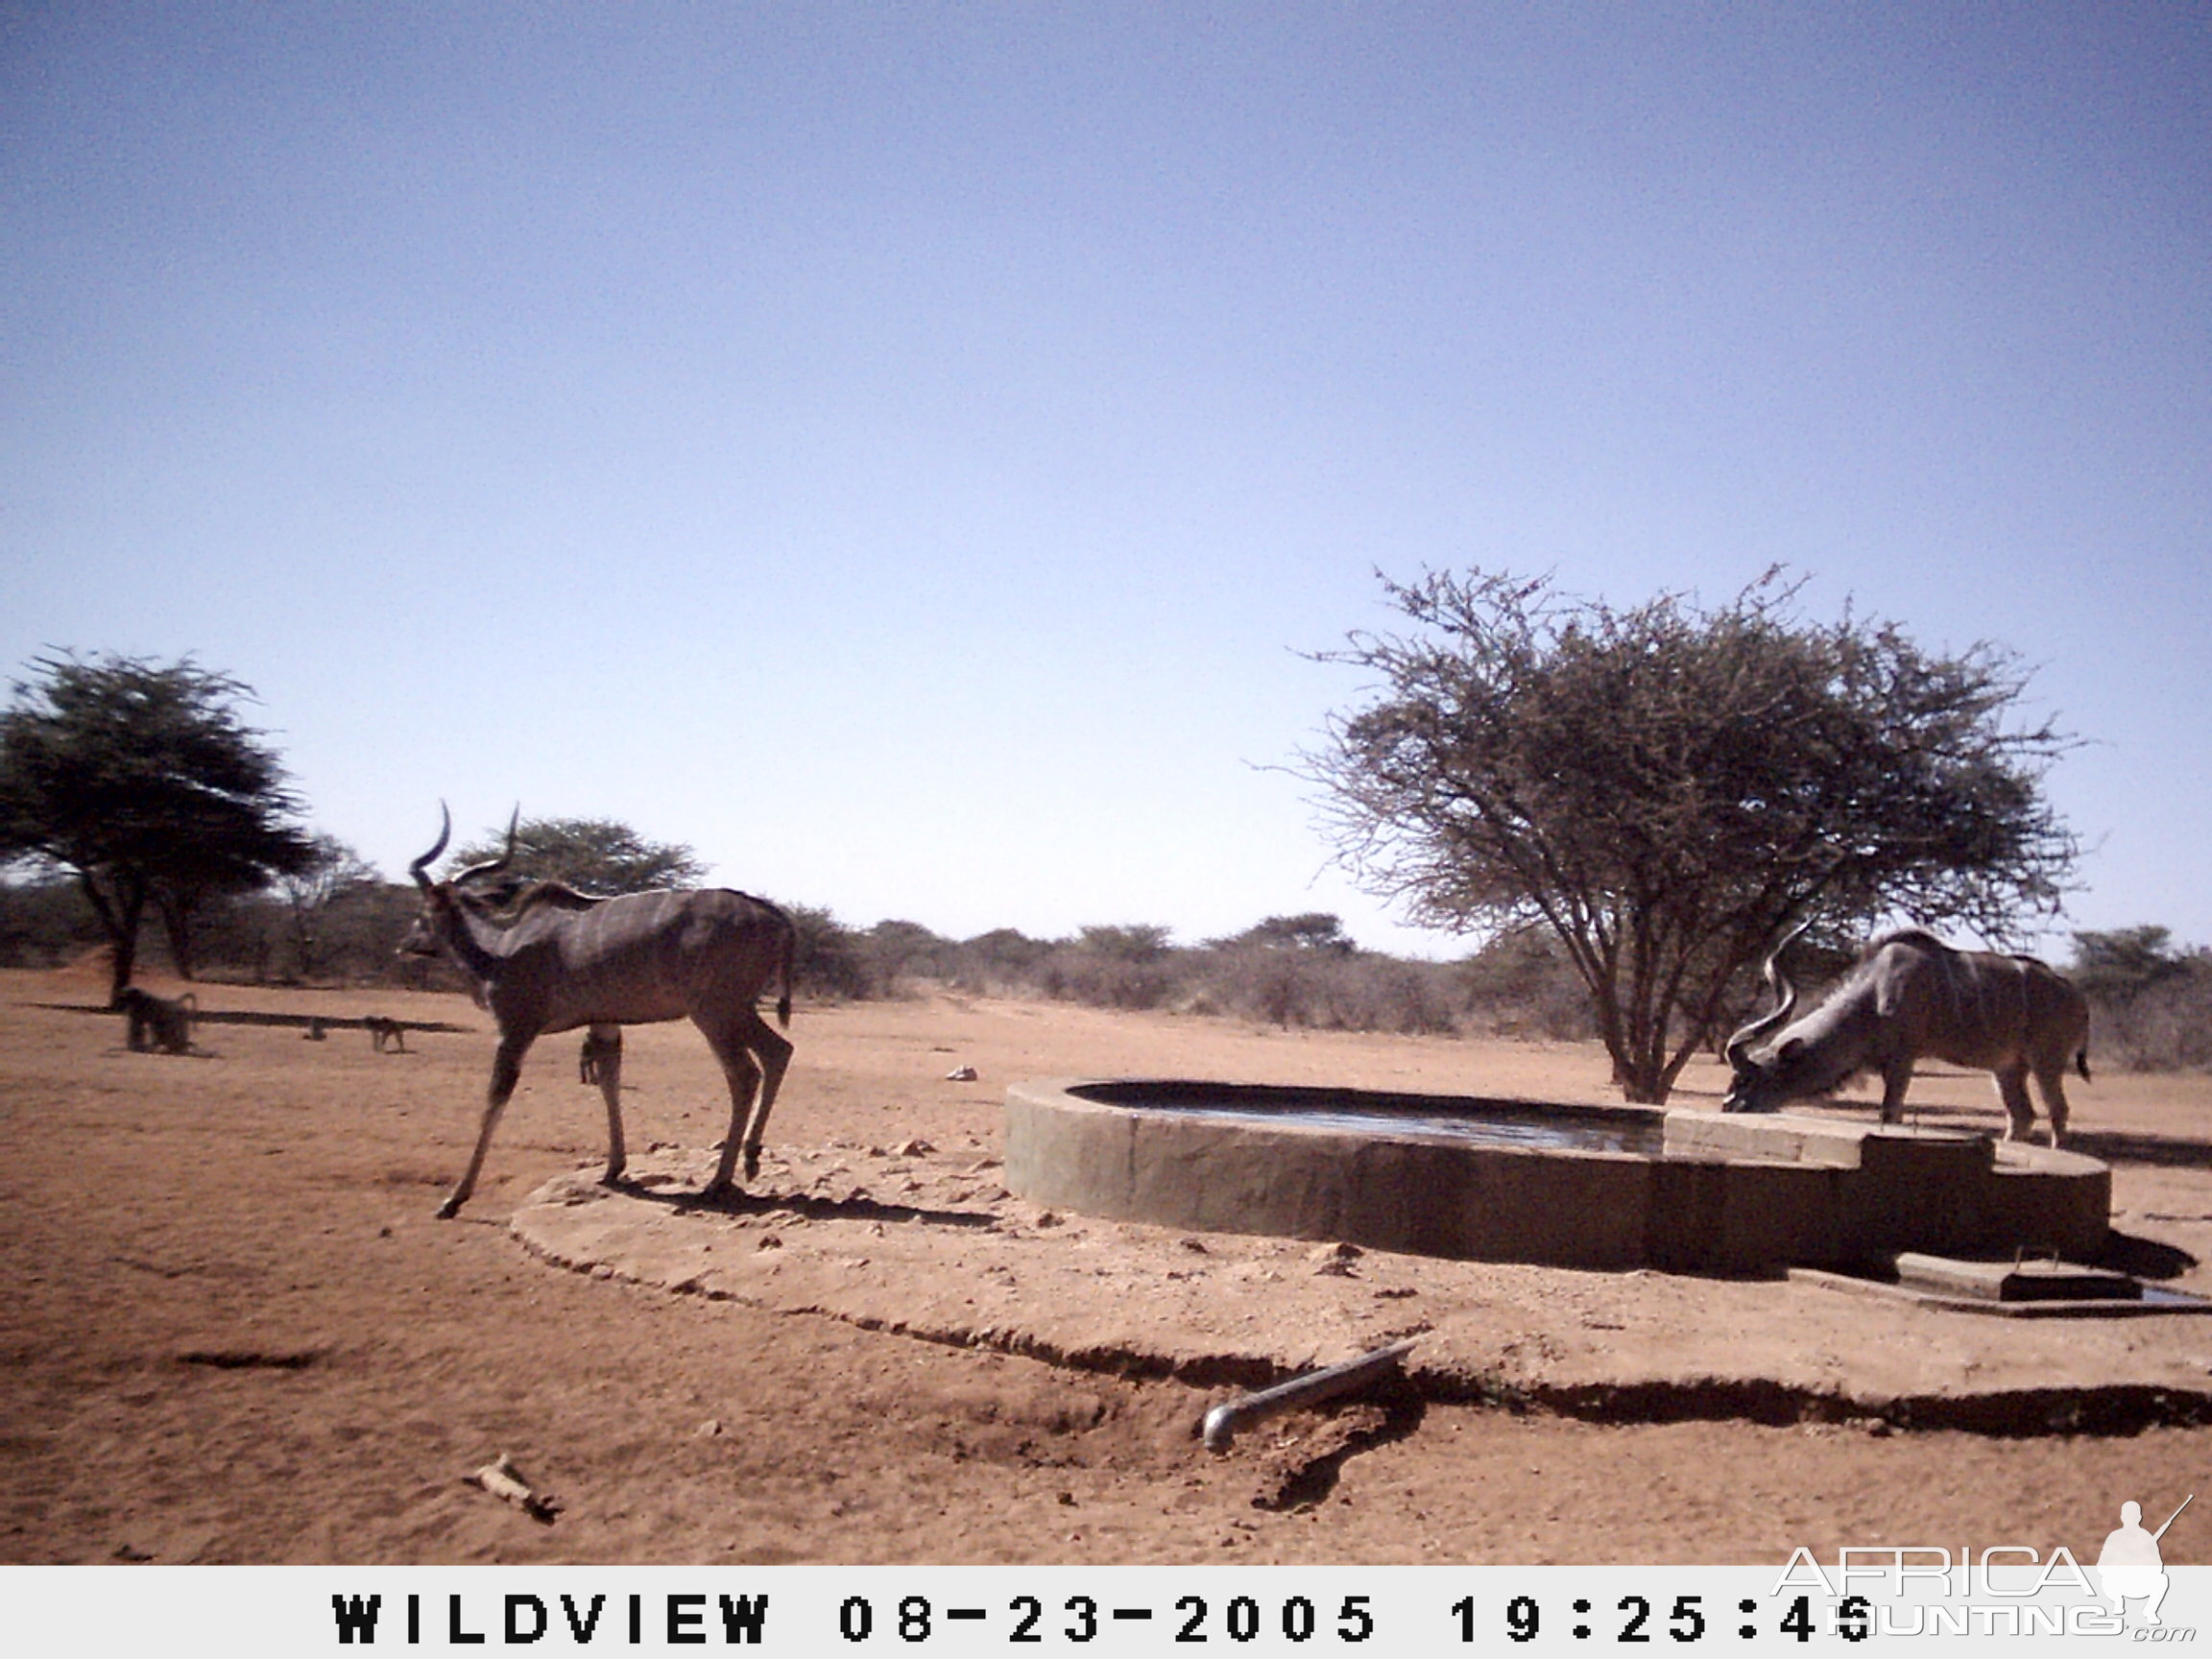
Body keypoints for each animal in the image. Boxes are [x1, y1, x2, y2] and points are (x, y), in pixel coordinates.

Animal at [404, 809, 796, 1212]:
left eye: (422, 913)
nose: (407, 943)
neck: (499, 948)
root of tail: (775, 918)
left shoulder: (515, 1028)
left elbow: (495, 1099)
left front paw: (455, 1198)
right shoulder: (604, 1022)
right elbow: (610, 1081)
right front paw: (613, 1168)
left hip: (714, 1013)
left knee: (744, 1074)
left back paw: (720, 1179)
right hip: (735, 1010)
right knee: (778, 1051)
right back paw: (751, 1158)